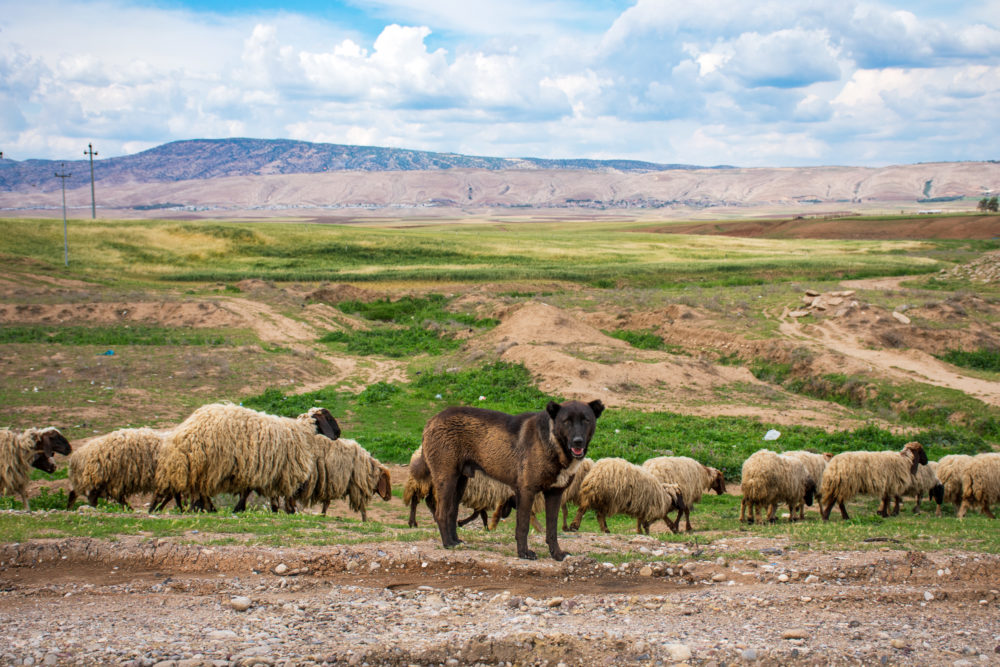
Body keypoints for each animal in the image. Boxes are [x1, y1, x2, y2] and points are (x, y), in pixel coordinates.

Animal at [153, 404, 340, 516]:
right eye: (329, 418)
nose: (338, 433)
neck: (301, 432)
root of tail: (186, 429)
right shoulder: (277, 469)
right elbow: (278, 493)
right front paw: (289, 510)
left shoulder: (265, 470)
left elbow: (265, 493)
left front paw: (274, 509)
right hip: (208, 464)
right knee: (197, 489)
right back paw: (199, 507)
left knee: (194, 489)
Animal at [420, 400, 600, 560]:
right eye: (566, 421)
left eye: (586, 420)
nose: (578, 441)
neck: (553, 443)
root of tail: (433, 420)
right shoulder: (526, 492)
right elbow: (523, 526)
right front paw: (524, 553)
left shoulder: (554, 494)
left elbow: (552, 530)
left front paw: (557, 554)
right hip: (447, 479)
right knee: (441, 513)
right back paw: (448, 543)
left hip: (460, 483)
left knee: (451, 512)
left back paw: (455, 541)